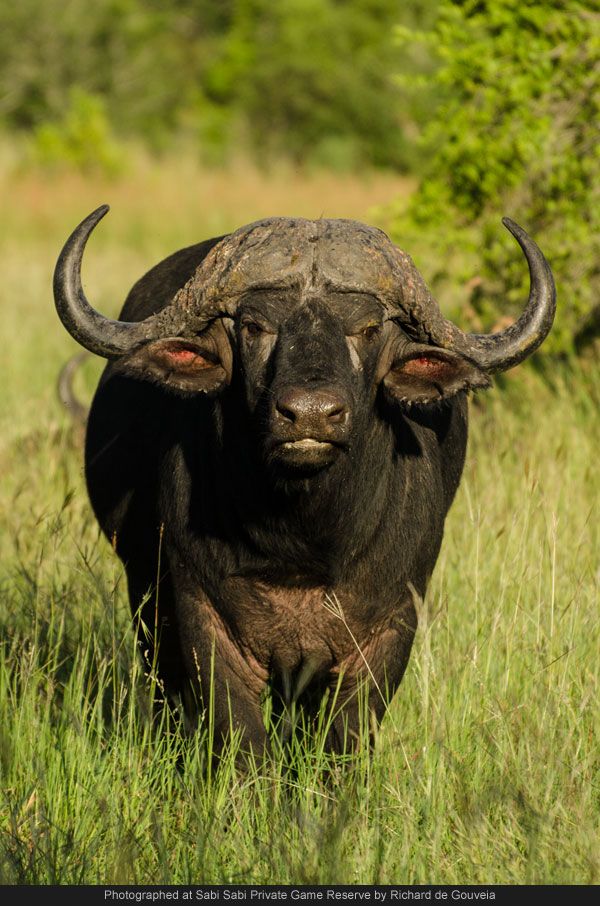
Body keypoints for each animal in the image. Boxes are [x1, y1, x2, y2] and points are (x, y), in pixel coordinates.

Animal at [53, 207, 555, 758]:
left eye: (368, 328)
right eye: (253, 326)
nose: (311, 414)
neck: (303, 543)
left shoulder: (387, 629)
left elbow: (344, 740)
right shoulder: (202, 620)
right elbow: (239, 736)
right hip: (143, 590)